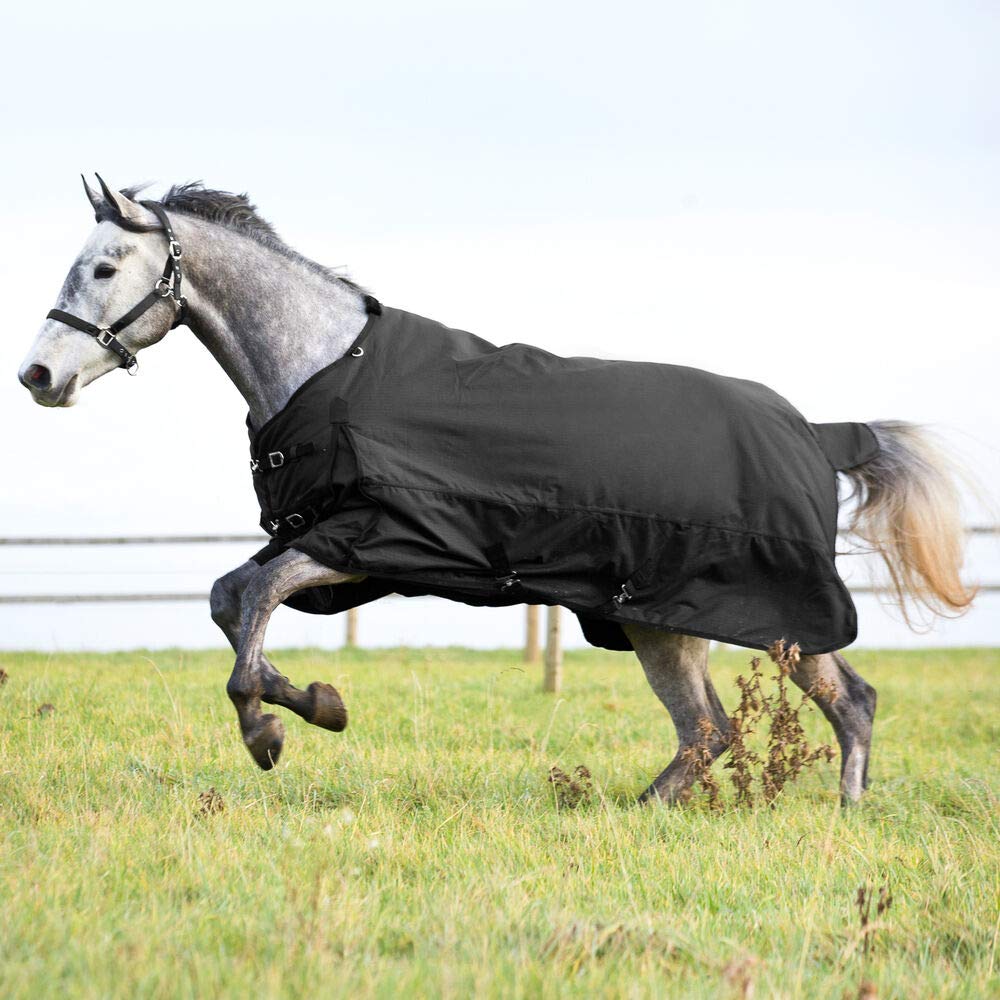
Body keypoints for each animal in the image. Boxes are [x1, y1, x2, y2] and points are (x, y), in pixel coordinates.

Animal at [18, 176, 975, 804]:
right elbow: (229, 597)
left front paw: (271, 730)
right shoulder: (329, 541)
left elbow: (252, 599)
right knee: (771, 717)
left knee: (768, 716)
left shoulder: (371, 539)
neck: (327, 366)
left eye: (103, 268)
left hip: (727, 613)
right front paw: (317, 704)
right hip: (669, 619)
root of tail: (817, 431)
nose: (38, 376)